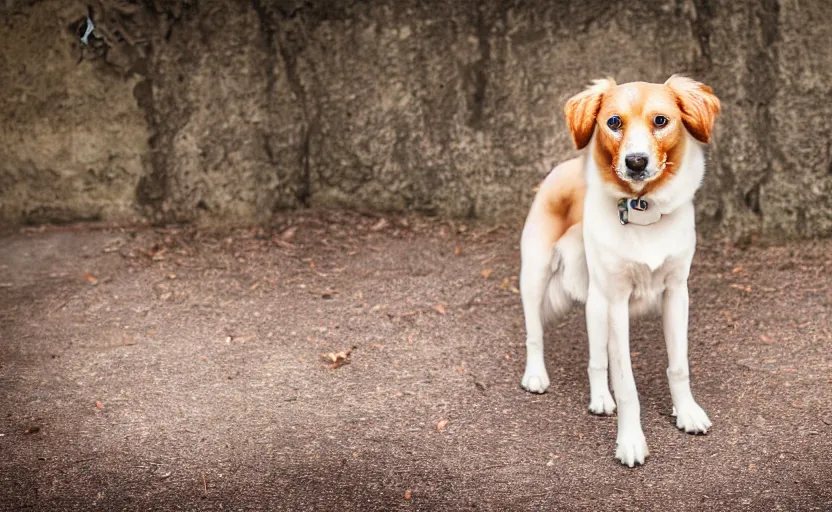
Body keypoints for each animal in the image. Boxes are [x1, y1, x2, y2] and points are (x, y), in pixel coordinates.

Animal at [520, 77, 720, 468]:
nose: (636, 162)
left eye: (661, 121)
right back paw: (536, 375)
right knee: (535, 333)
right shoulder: (617, 303)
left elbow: (678, 366)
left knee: (598, 360)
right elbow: (627, 385)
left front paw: (686, 412)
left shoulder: (676, 294)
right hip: (535, 276)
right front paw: (631, 441)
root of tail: (567, 166)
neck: (643, 209)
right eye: (613, 122)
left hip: (595, 305)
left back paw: (600, 398)